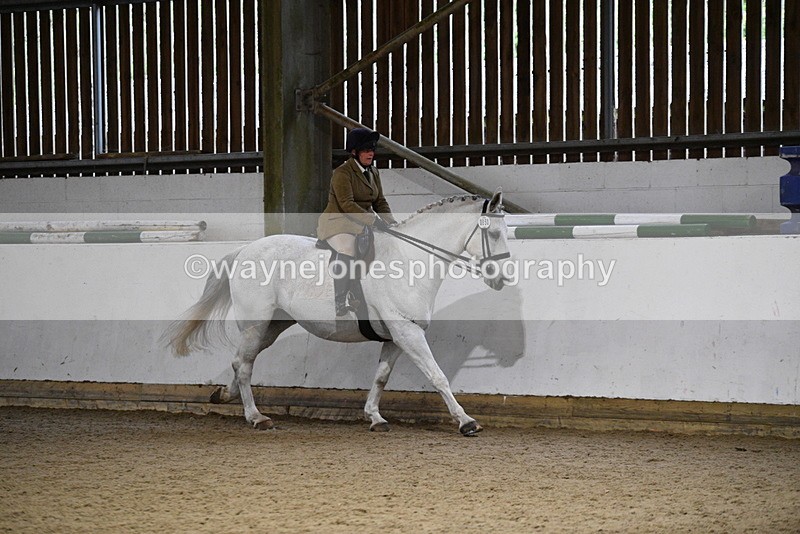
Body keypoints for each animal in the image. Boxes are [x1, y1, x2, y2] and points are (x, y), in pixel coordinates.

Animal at [163, 190, 513, 436]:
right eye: (495, 234)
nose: (502, 279)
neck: (410, 259)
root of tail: (244, 249)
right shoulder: (408, 332)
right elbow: (437, 375)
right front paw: (466, 421)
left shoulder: (396, 337)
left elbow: (381, 377)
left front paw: (375, 418)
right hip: (255, 324)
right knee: (244, 365)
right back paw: (257, 417)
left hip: (272, 326)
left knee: (242, 361)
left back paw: (224, 395)